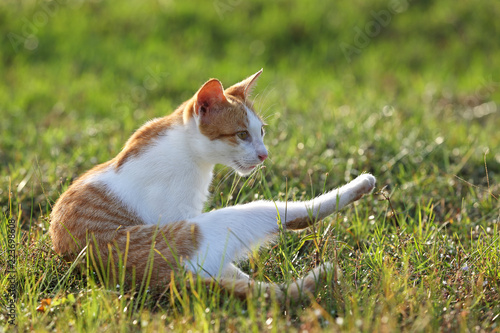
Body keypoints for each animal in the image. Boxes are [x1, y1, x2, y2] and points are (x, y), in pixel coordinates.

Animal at [49, 69, 376, 298]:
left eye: (261, 131)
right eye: (242, 134)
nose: (264, 155)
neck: (187, 150)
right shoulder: (180, 213)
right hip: (216, 223)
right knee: (296, 215)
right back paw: (360, 184)